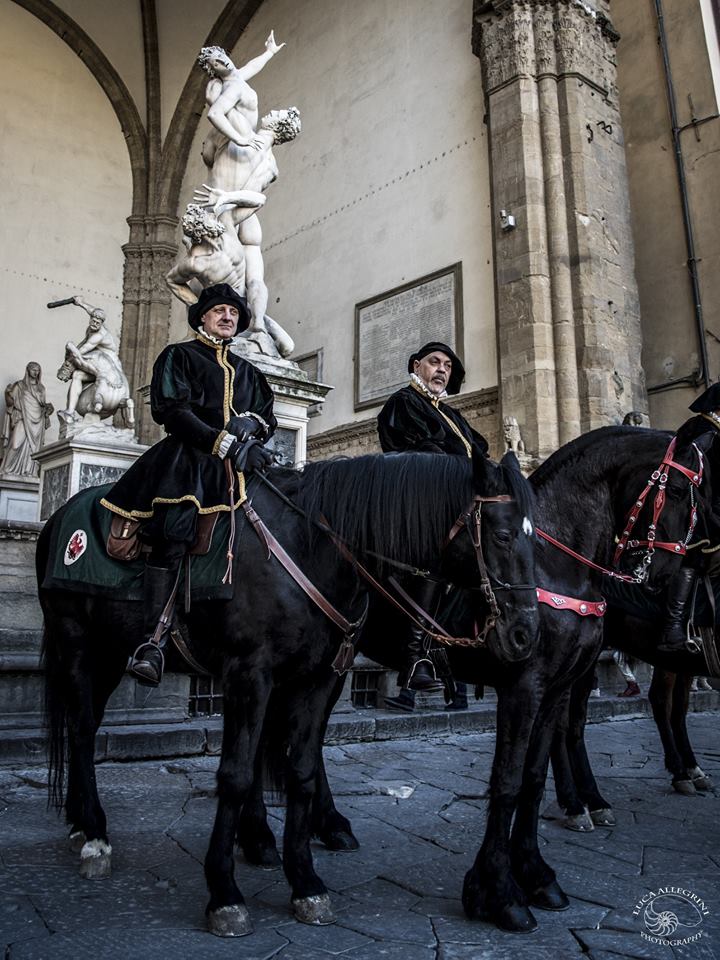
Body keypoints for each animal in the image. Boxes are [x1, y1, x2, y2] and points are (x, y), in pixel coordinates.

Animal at [38, 450, 536, 936]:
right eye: (504, 535)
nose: (524, 634)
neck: (312, 548)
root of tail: (57, 518)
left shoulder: (316, 678)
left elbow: (301, 772)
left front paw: (306, 883)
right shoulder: (250, 672)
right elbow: (237, 774)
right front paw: (224, 892)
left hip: (107, 651)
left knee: (86, 728)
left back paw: (83, 823)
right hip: (76, 641)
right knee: (81, 729)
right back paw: (95, 834)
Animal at [252, 426, 708, 928]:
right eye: (680, 490)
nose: (663, 579)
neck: (554, 566)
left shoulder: (556, 689)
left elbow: (533, 779)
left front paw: (536, 874)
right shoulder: (523, 686)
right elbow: (507, 782)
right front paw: (497, 892)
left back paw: (329, 826)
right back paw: (264, 839)